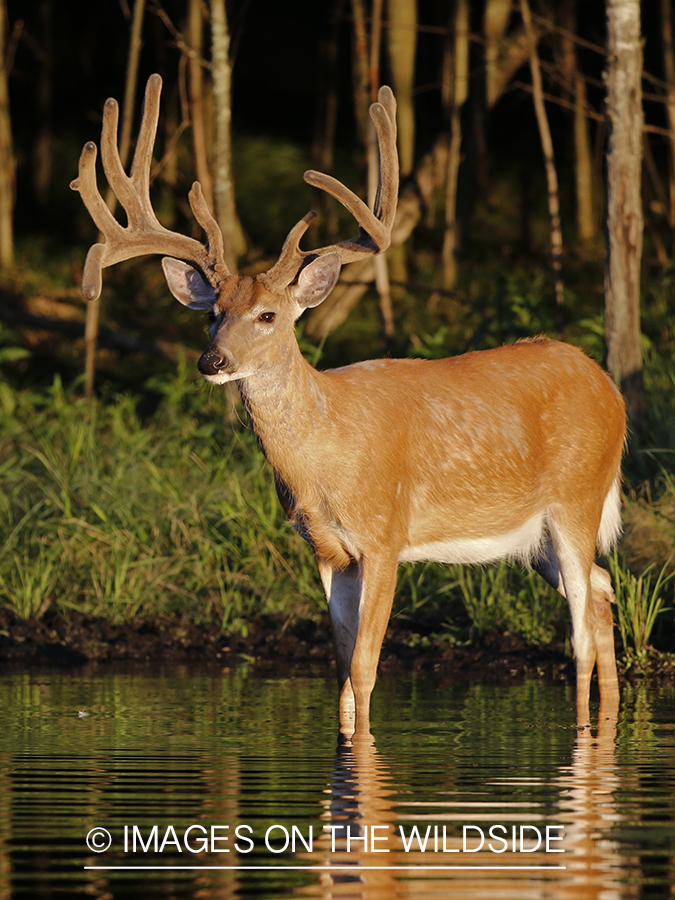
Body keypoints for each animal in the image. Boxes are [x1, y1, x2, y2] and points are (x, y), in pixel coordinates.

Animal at [71, 75, 624, 740]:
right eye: (211, 314)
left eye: (268, 315)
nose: (212, 361)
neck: (323, 455)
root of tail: (609, 386)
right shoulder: (326, 548)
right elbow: (337, 667)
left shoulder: (385, 535)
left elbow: (364, 665)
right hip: (534, 535)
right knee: (602, 589)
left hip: (577, 498)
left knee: (581, 634)